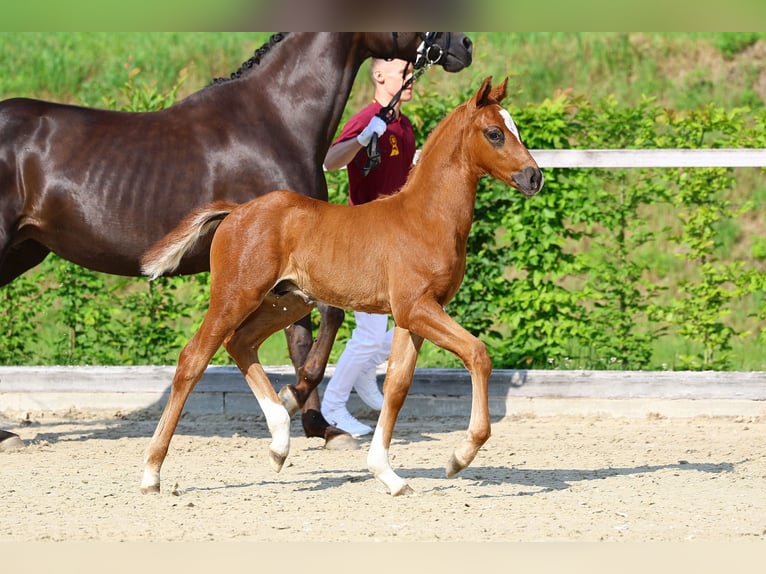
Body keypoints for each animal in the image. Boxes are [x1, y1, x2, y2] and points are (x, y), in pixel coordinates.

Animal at [0, 32, 473, 451]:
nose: (464, 45)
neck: (276, 120)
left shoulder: (292, 268)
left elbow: (302, 339)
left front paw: (319, 427)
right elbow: (326, 322)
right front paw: (296, 400)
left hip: (24, 250)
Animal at [139, 76, 544, 496]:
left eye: (515, 128)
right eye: (494, 133)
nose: (534, 177)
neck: (425, 217)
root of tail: (235, 212)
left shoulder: (411, 316)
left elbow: (397, 386)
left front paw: (389, 476)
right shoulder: (417, 308)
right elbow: (477, 354)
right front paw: (459, 457)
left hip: (287, 302)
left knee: (241, 343)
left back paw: (280, 443)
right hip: (235, 296)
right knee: (194, 358)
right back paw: (152, 473)